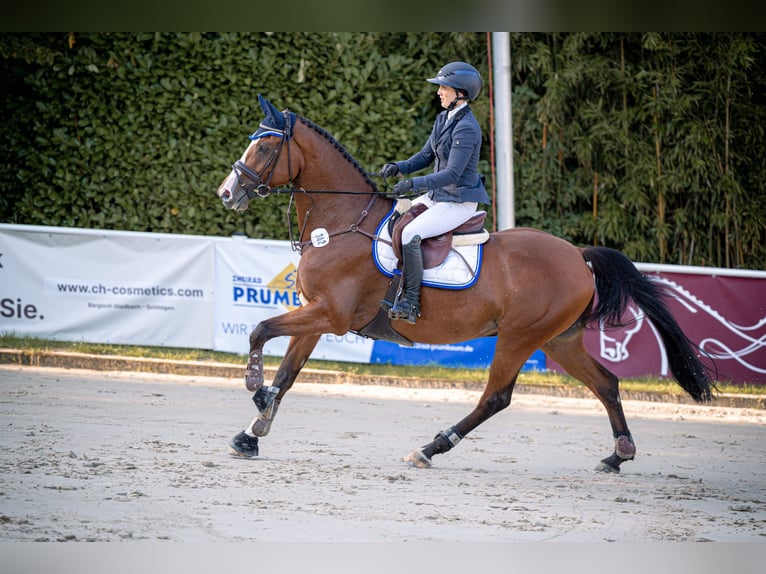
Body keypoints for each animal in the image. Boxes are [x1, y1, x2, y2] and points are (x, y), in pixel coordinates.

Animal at [214, 94, 712, 472]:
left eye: (265, 149)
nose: (227, 193)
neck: (340, 222)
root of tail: (577, 255)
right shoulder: (317, 314)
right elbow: (288, 373)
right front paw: (252, 432)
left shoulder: (330, 314)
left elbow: (260, 331)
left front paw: (253, 386)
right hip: (559, 340)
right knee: (606, 383)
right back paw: (617, 455)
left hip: (519, 337)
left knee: (496, 397)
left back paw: (431, 447)